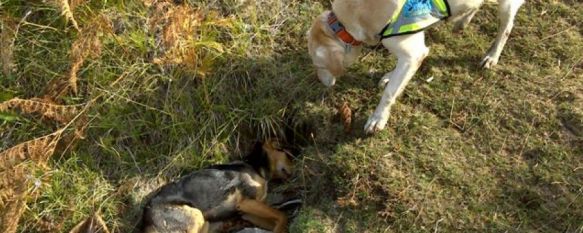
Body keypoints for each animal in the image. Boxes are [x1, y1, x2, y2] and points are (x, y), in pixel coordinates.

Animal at [140, 140, 294, 233]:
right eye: (287, 155)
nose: (295, 168)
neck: (255, 166)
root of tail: (145, 218)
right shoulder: (246, 201)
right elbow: (281, 215)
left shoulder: (248, 212)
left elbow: (278, 219)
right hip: (196, 215)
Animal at [308, 0, 528, 134]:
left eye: (318, 65)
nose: (319, 82)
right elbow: (396, 76)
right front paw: (390, 76)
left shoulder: (413, 53)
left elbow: (389, 93)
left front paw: (378, 118)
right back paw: (462, 21)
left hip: (506, 7)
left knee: (506, 29)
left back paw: (492, 56)